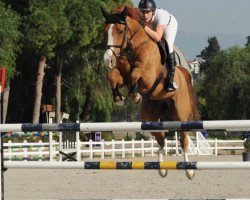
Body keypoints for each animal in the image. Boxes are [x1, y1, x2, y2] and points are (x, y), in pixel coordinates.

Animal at [100, 5, 199, 180]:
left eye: (120, 30)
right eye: (104, 31)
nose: (108, 60)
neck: (133, 48)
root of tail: (185, 72)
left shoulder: (148, 78)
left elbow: (135, 74)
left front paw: (135, 95)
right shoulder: (121, 75)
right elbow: (112, 76)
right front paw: (120, 99)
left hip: (181, 115)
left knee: (183, 139)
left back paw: (189, 170)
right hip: (150, 118)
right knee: (161, 140)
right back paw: (162, 169)